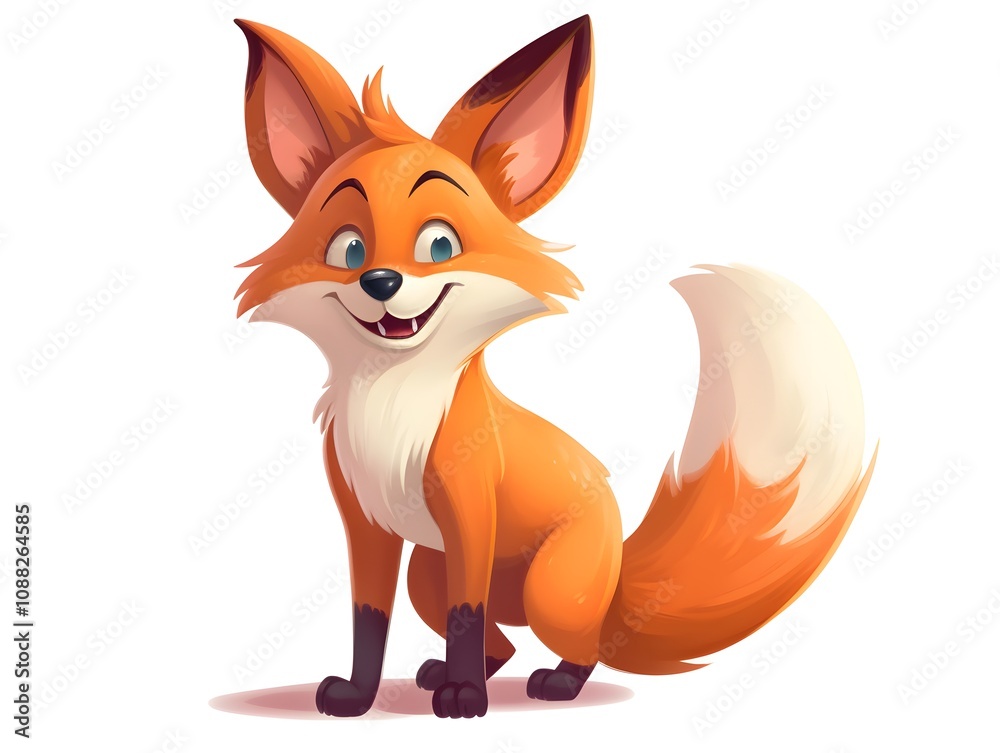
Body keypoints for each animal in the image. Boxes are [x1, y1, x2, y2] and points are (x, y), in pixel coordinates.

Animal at [231, 15, 875, 719]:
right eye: (348, 248)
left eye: (439, 244)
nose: (380, 282)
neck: (394, 404)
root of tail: (617, 571)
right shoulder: (366, 524)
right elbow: (368, 619)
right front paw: (358, 696)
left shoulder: (471, 515)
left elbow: (464, 613)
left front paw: (465, 700)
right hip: (426, 571)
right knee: (504, 641)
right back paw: (447, 673)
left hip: (549, 591)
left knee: (580, 643)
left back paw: (551, 682)